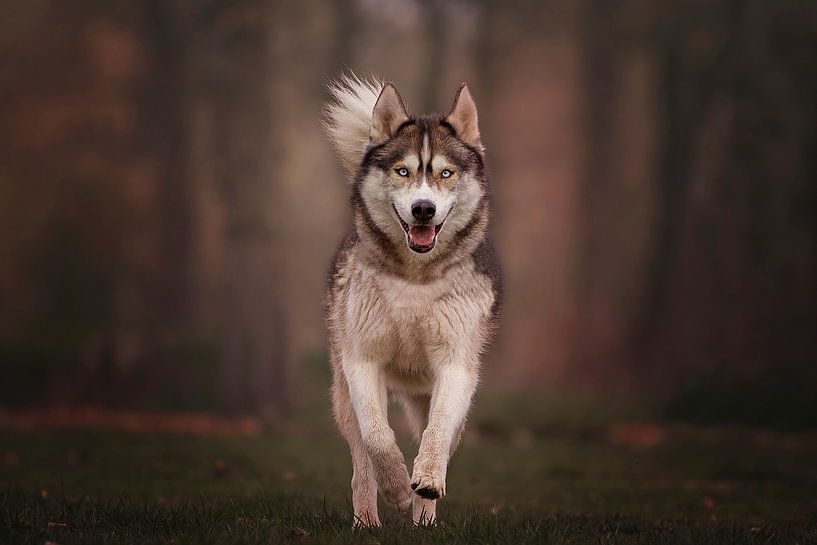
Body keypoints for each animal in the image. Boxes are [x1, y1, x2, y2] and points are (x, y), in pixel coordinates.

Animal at [322, 74, 500, 524]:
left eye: (446, 173)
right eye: (402, 171)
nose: (423, 209)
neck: (415, 279)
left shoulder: (456, 365)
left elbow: (436, 432)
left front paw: (425, 484)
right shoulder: (361, 361)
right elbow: (377, 436)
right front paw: (398, 489)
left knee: (434, 434)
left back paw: (424, 520)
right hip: (342, 394)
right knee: (360, 464)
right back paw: (367, 521)